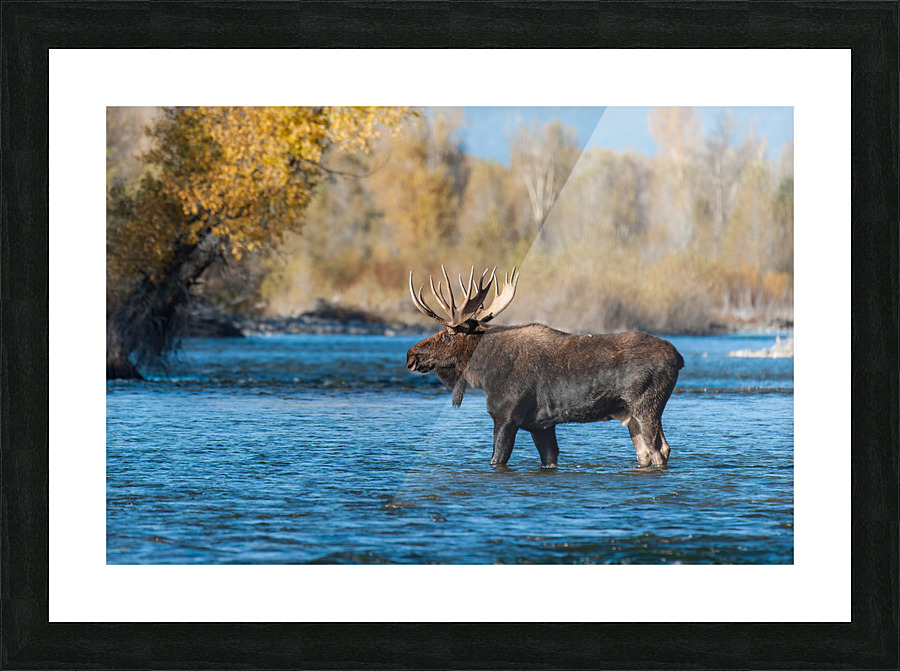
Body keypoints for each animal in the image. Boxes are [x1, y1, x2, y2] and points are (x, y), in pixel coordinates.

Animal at [406, 266, 684, 468]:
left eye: (447, 336)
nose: (411, 355)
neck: (484, 374)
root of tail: (679, 358)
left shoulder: (506, 417)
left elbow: (497, 459)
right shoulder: (541, 425)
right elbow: (549, 458)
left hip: (646, 407)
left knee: (660, 449)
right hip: (630, 415)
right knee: (645, 453)